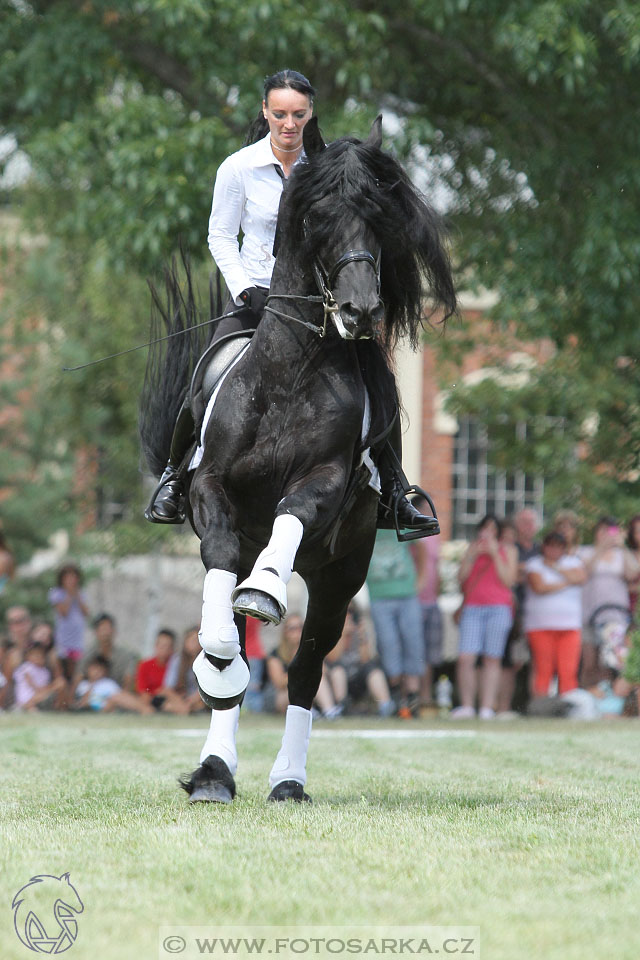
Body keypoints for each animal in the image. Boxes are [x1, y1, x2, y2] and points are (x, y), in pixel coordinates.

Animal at [140, 118, 456, 804]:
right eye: (316, 217)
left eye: (379, 217)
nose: (361, 311)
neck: (290, 374)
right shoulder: (212, 492)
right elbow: (222, 582)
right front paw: (217, 654)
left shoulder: (329, 483)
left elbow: (294, 511)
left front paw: (263, 588)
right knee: (247, 660)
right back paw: (215, 769)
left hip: (341, 576)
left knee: (308, 669)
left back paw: (287, 779)